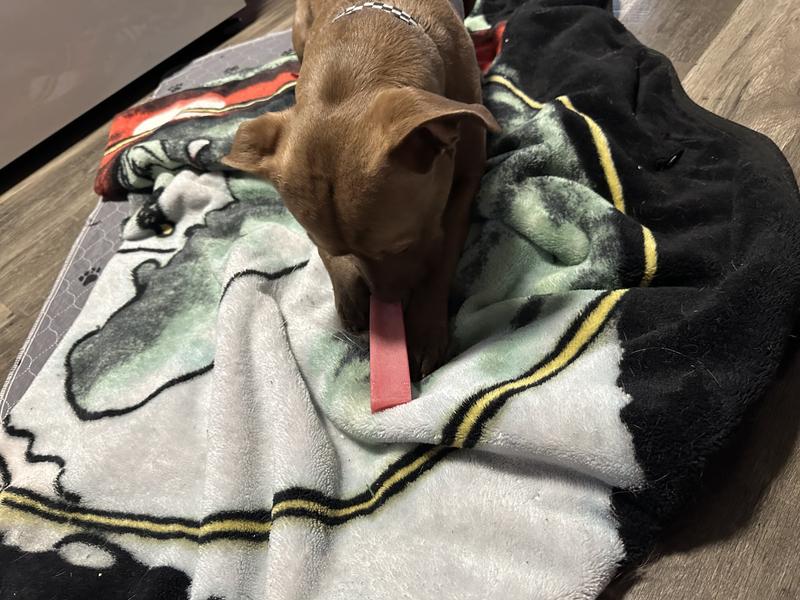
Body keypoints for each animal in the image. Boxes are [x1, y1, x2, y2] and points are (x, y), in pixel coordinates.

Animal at [222, 0, 500, 379]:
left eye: (402, 245)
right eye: (341, 252)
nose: (388, 301)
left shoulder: (467, 182)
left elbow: (442, 256)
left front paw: (425, 325)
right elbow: (324, 251)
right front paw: (349, 291)